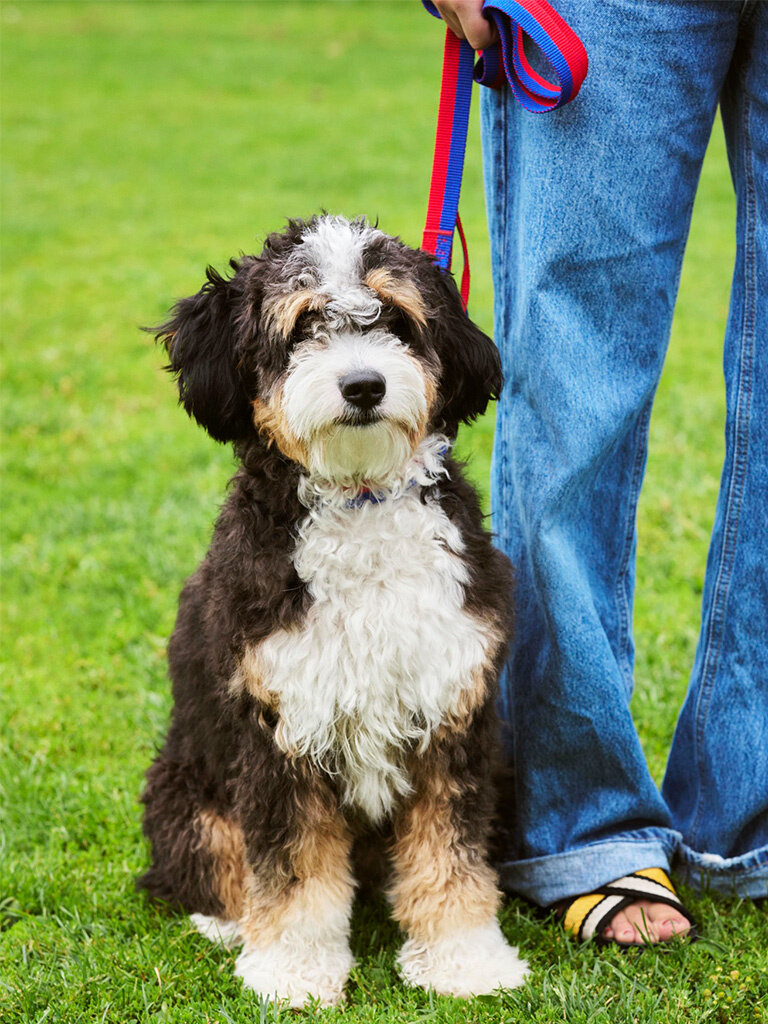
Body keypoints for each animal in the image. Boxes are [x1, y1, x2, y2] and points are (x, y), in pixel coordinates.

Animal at [140, 211, 528, 1003]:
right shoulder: (280, 728)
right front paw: (291, 971)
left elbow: (451, 853)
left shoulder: (453, 717)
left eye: (397, 320)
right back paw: (230, 926)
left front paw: (465, 959)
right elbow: (292, 872)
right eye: (302, 325)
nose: (363, 385)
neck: (361, 503)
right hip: (185, 789)